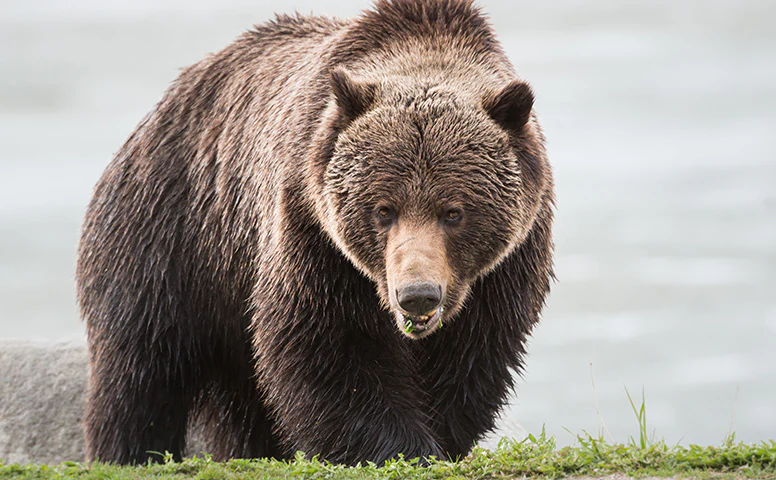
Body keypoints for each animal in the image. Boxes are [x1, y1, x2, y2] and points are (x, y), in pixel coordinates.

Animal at [76, 0, 554, 466]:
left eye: (453, 211)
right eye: (384, 209)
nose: (417, 294)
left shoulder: (507, 265)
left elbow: (471, 357)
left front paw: (439, 437)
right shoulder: (312, 230)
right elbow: (328, 346)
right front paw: (401, 448)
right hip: (172, 235)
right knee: (141, 367)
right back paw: (131, 451)